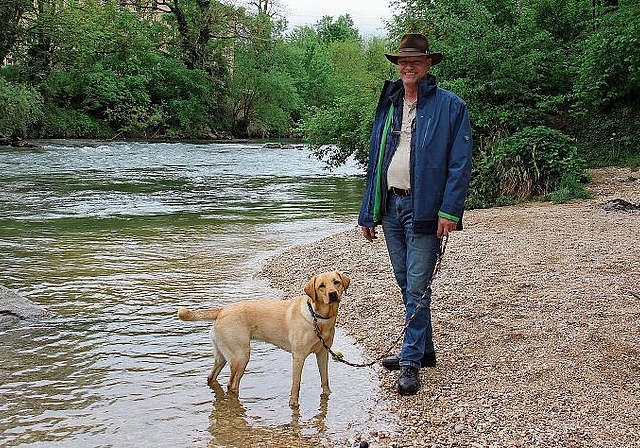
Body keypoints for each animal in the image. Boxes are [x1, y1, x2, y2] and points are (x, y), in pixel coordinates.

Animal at [176, 272, 350, 408]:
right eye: (321, 286)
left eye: (336, 282)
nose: (333, 294)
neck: (317, 317)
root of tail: (222, 310)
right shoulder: (298, 356)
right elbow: (296, 384)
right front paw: (293, 404)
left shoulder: (323, 353)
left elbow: (325, 379)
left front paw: (328, 395)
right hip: (241, 356)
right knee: (231, 385)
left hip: (224, 356)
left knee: (211, 377)